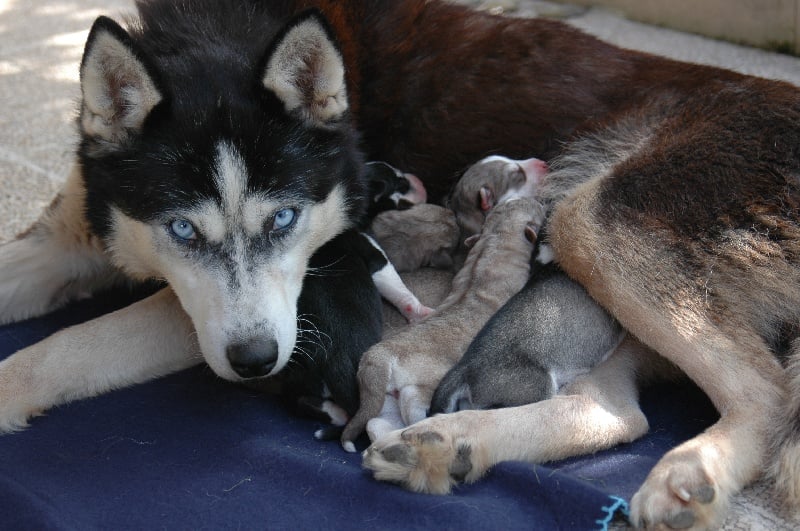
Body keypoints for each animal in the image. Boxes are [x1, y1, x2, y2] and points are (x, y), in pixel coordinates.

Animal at [1, 0, 800, 528]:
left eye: (284, 218)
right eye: (181, 230)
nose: (258, 363)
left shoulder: (242, 311)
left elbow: (55, 351)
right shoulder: (80, 236)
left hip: (594, 222)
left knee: (763, 392)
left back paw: (687, 475)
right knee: (617, 415)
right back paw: (445, 447)